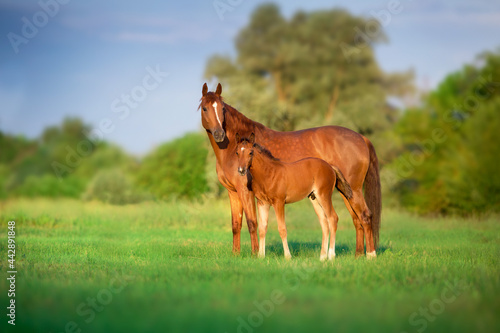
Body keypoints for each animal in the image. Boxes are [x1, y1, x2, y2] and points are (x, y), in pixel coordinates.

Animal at [236, 132, 354, 260]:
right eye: (237, 152)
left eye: (250, 152)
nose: (241, 170)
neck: (268, 173)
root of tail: (330, 166)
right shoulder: (262, 203)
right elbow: (262, 228)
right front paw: (261, 256)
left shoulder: (279, 202)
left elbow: (282, 229)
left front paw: (288, 256)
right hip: (314, 199)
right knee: (324, 223)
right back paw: (322, 257)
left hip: (324, 195)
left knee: (333, 218)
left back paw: (331, 255)